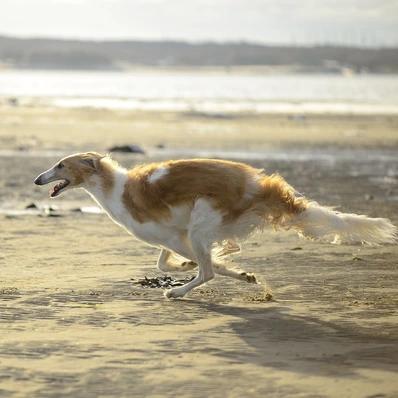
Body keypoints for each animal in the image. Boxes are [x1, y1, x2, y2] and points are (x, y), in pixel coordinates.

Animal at [35, 152, 398, 298]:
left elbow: (200, 264)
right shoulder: (175, 236)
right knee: (211, 264)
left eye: (60, 165)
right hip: (202, 227)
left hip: (201, 223)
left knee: (206, 272)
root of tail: (258, 185)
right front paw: (245, 275)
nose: (38, 179)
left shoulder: (178, 236)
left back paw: (176, 292)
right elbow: (171, 261)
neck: (114, 187)